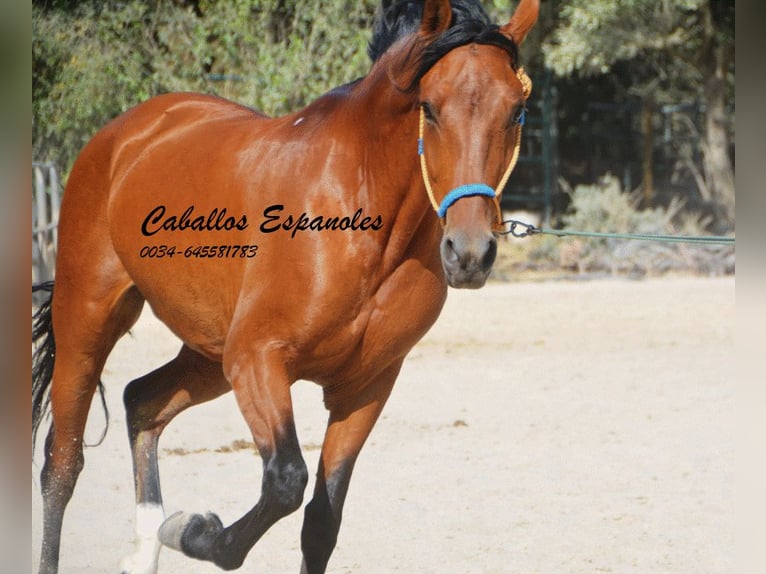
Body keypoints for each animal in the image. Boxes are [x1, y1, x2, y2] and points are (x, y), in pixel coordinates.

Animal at [34, 2, 540, 572]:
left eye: (516, 110)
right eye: (428, 108)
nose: (469, 253)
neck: (361, 215)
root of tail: (125, 133)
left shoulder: (366, 385)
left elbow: (321, 521)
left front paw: (180, 528)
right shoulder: (256, 359)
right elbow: (284, 482)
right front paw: (192, 529)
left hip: (207, 355)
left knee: (142, 402)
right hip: (89, 320)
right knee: (62, 464)